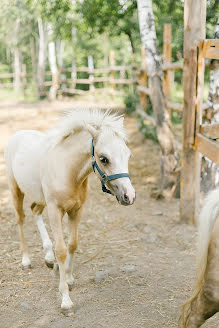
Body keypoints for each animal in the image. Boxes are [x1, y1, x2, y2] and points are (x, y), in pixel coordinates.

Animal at [4, 109, 135, 316]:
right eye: (103, 158)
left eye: (128, 155)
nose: (129, 196)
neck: (68, 171)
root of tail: (17, 134)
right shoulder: (55, 211)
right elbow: (62, 250)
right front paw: (65, 301)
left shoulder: (76, 210)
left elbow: (72, 244)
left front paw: (69, 278)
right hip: (16, 190)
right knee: (21, 219)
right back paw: (26, 260)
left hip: (40, 199)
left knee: (34, 211)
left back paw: (49, 258)